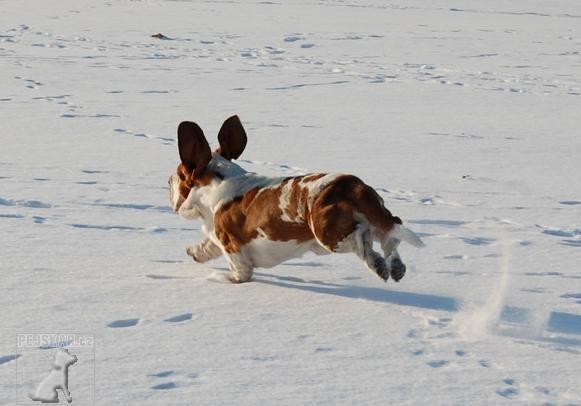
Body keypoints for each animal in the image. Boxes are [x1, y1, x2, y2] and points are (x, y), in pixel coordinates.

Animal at [168, 116, 422, 284]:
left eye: (179, 175)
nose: (168, 181)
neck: (217, 184)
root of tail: (350, 185)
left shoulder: (230, 243)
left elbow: (239, 269)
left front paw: (228, 280)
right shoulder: (215, 234)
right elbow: (208, 245)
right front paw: (195, 252)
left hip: (328, 234)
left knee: (362, 240)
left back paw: (378, 266)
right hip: (376, 217)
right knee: (390, 234)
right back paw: (395, 268)